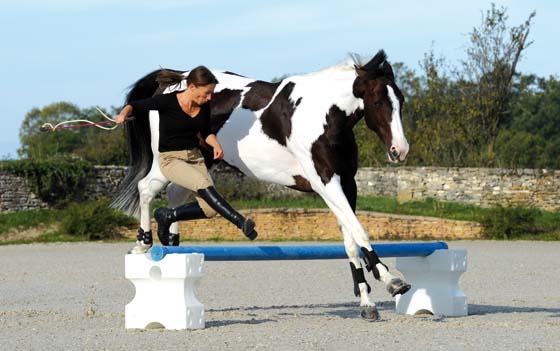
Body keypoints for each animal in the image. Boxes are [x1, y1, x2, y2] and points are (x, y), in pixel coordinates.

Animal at [114, 50, 412, 322]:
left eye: (400, 101)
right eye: (378, 101)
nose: (400, 151)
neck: (324, 117)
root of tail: (175, 79)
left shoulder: (346, 184)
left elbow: (351, 240)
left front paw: (366, 302)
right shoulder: (325, 183)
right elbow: (360, 231)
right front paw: (391, 280)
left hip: (200, 157)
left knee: (178, 195)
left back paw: (171, 241)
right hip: (168, 158)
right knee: (147, 189)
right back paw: (144, 244)